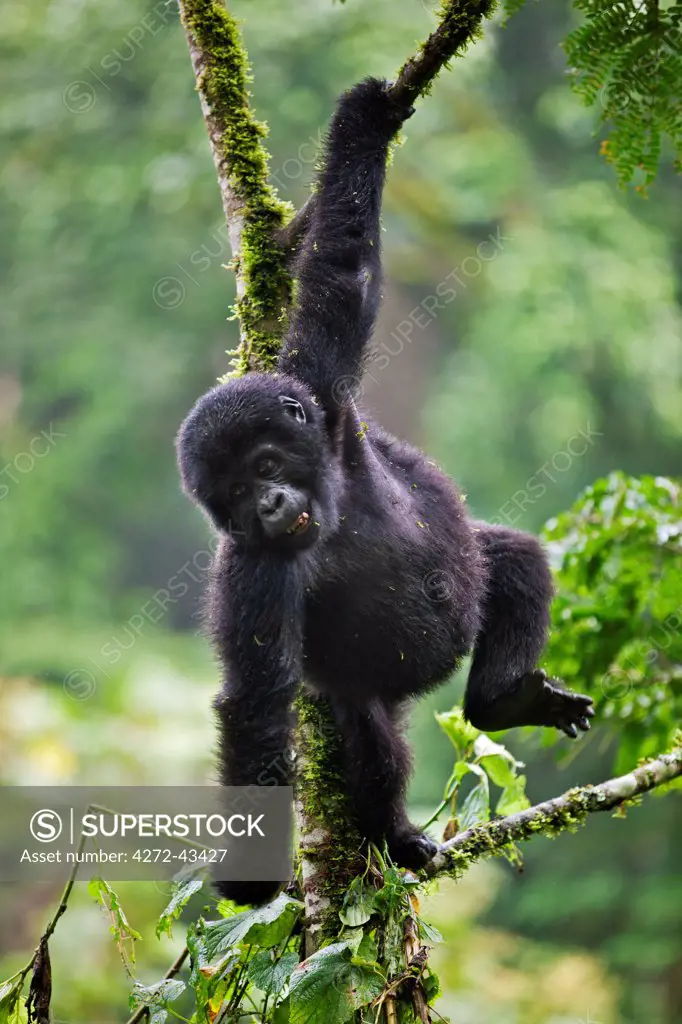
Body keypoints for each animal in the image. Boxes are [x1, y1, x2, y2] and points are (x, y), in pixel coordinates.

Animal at [178, 81, 593, 913]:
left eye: (267, 463)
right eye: (235, 494)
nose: (268, 506)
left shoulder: (319, 391)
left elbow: (345, 271)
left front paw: (366, 118)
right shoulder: (250, 570)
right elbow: (256, 705)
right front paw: (247, 877)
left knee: (511, 558)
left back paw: (503, 698)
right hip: (376, 697)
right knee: (372, 736)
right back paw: (399, 830)